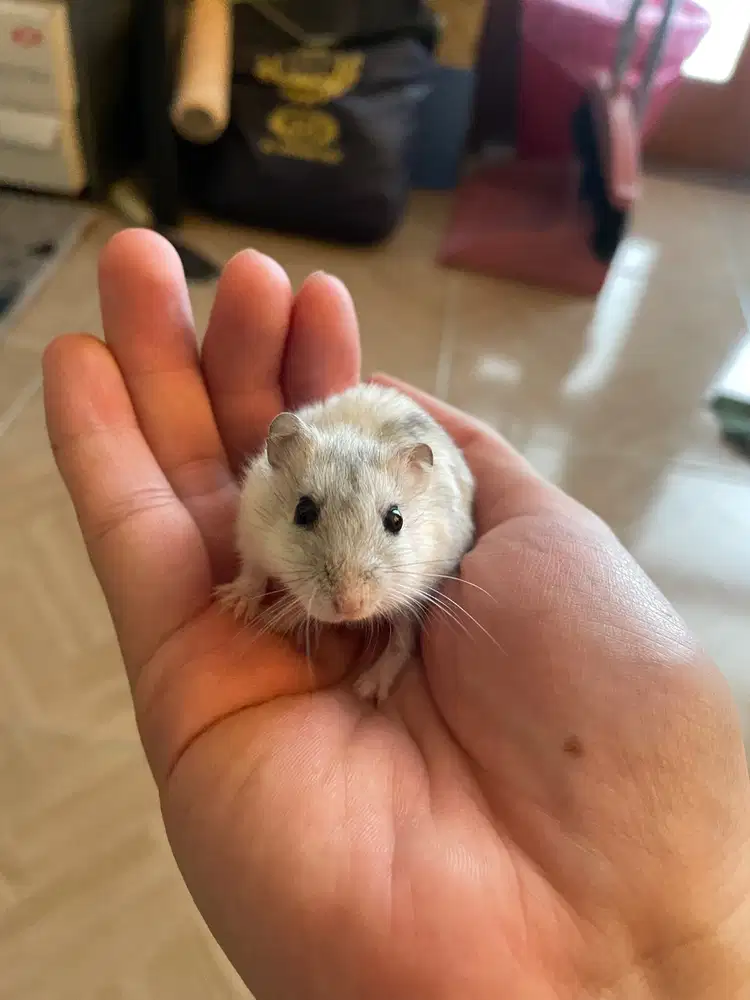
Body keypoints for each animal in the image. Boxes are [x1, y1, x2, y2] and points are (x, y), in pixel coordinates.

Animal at [218, 383, 475, 704]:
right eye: (303, 512)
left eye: (396, 520)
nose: (351, 608)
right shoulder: (251, 529)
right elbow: (253, 572)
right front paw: (234, 606)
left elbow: (400, 641)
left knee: (402, 641)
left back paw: (368, 688)